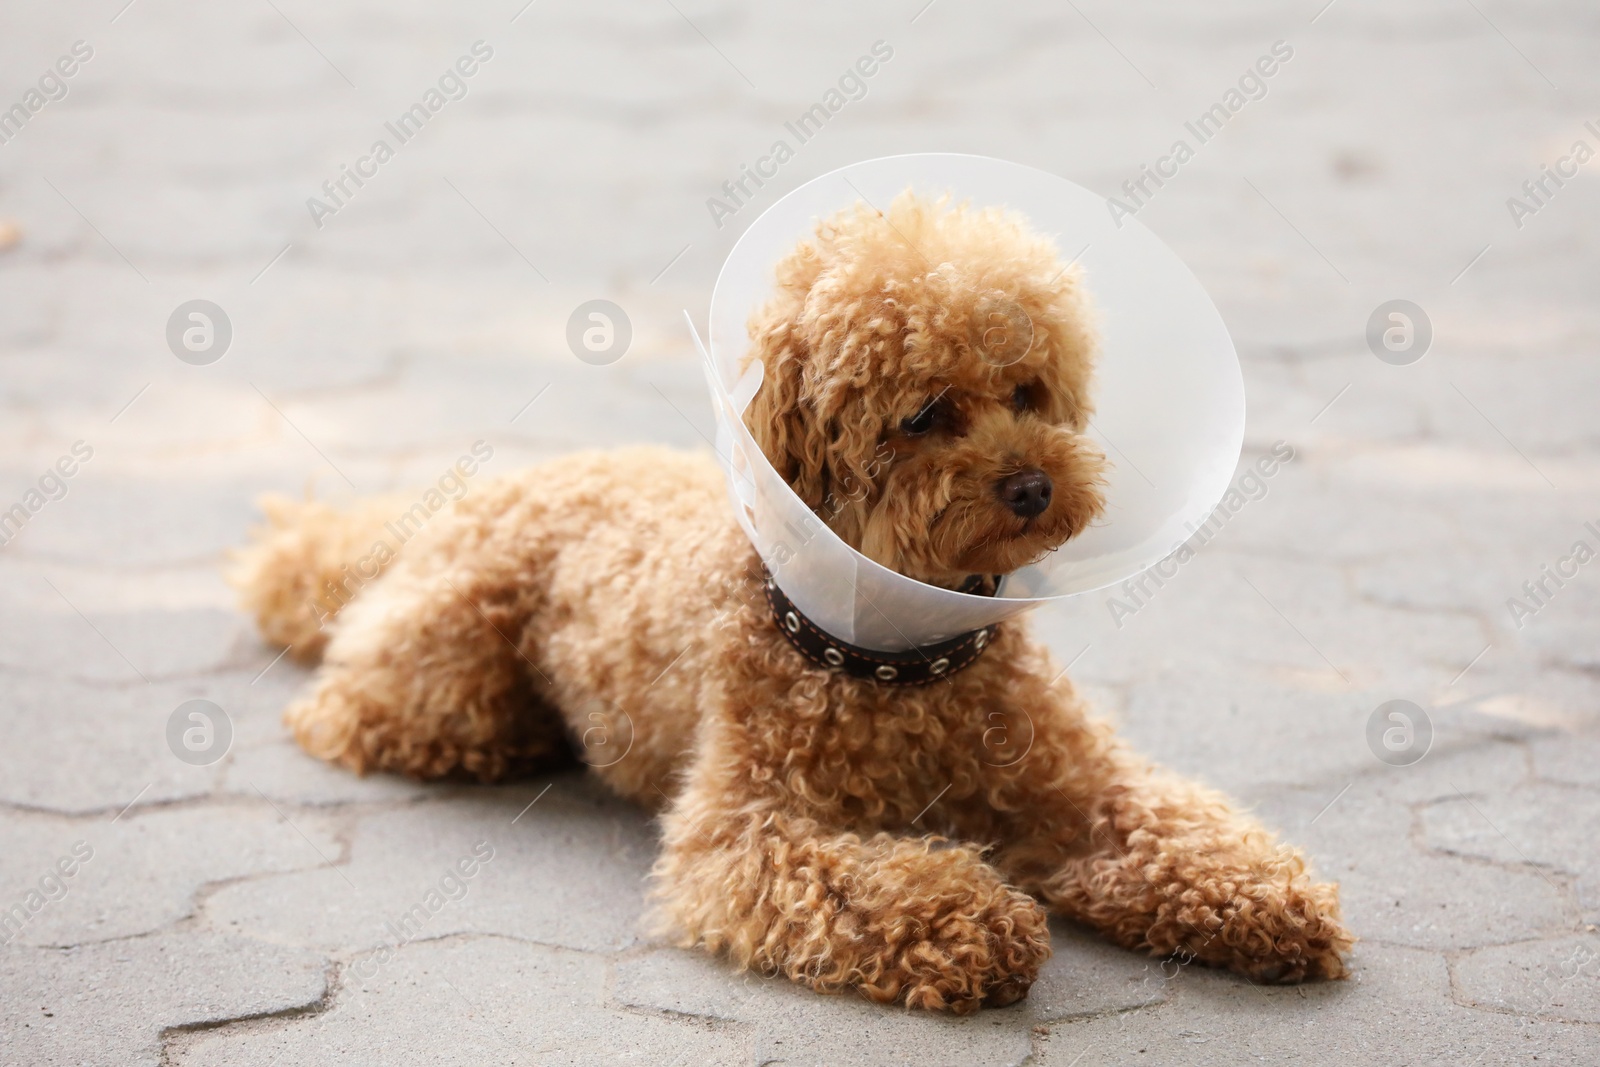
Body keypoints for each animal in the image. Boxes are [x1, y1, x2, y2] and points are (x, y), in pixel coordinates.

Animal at [232, 189, 1350, 1011]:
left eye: (1029, 392)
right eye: (924, 414)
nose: (1035, 486)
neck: (906, 664)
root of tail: (491, 487)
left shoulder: (1073, 781)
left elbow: (1169, 820)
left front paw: (1263, 894)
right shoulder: (745, 833)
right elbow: (866, 879)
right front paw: (976, 918)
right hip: (445, 669)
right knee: (342, 709)